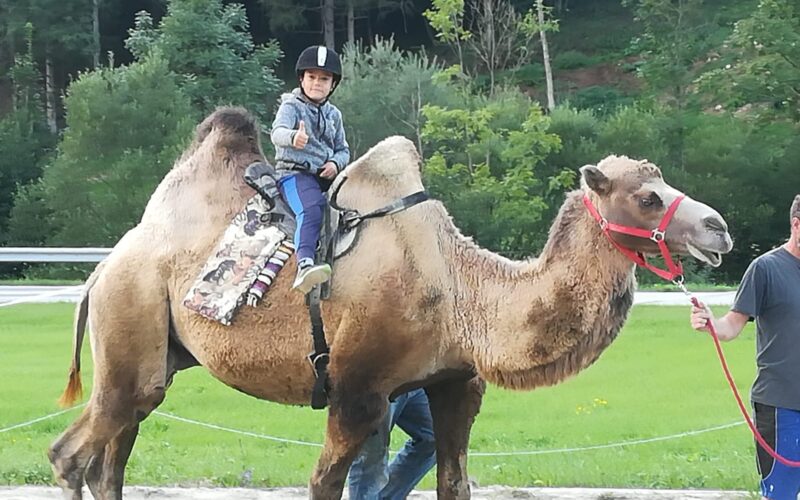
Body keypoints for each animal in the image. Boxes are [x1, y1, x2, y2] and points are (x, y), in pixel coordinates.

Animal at [48, 107, 733, 500]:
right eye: (647, 196)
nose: (719, 228)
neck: (462, 293)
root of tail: (102, 268)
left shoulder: (456, 383)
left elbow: (454, 482)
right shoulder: (356, 391)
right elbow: (325, 484)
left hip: (156, 356)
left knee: (109, 460)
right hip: (131, 322)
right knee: (71, 456)